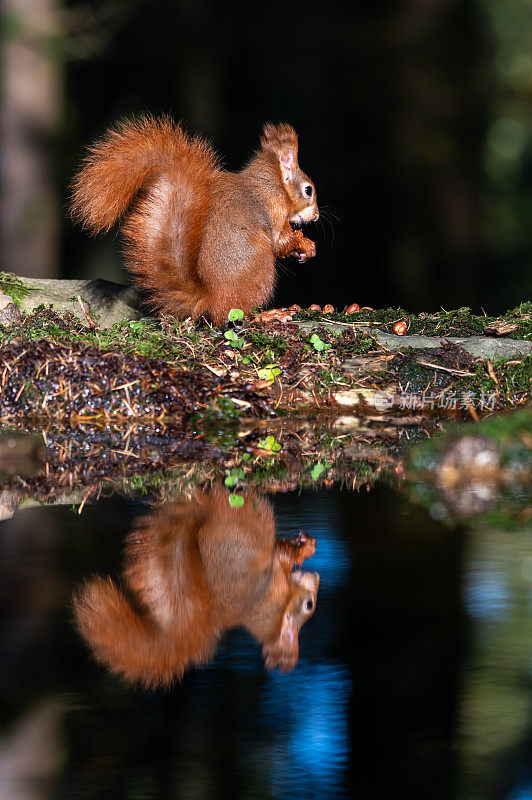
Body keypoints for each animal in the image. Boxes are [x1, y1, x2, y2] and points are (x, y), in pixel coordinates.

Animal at [70, 117, 320, 324]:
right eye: (308, 190)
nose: (317, 215)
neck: (272, 184)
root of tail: (210, 297)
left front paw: (308, 248)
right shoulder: (271, 212)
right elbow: (280, 242)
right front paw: (302, 244)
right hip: (259, 270)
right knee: (233, 315)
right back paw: (268, 315)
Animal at [72, 488, 318, 688]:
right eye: (309, 605)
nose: (316, 578)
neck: (283, 607)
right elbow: (283, 556)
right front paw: (303, 547)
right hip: (253, 529)